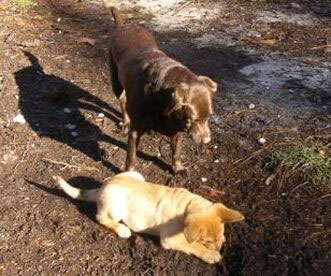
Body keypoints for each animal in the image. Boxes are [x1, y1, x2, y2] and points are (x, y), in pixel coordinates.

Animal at [52, 171, 244, 264]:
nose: (220, 248)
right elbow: (193, 246)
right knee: (101, 217)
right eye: (206, 241)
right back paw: (122, 229)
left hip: (136, 174)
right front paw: (211, 255)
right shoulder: (170, 240)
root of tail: (101, 188)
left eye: (220, 235)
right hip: (116, 207)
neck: (187, 205)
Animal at [108, 7, 218, 174]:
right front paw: (129, 172)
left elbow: (176, 150)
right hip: (116, 81)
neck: (160, 96)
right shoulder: (136, 130)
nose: (206, 141)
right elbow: (131, 155)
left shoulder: (177, 129)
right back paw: (125, 122)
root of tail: (124, 25)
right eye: (193, 119)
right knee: (121, 100)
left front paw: (178, 168)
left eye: (209, 117)